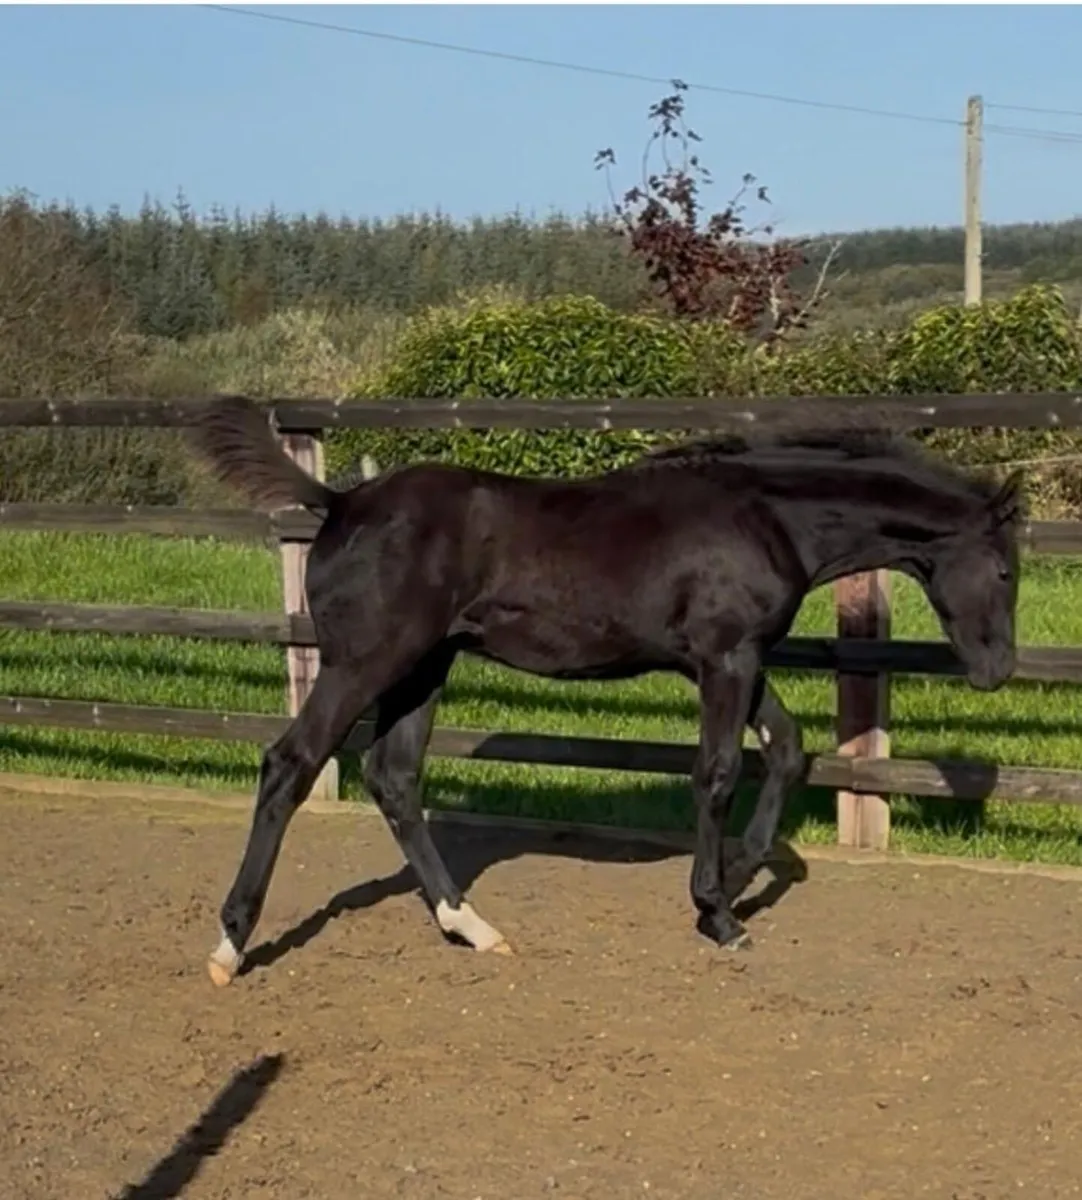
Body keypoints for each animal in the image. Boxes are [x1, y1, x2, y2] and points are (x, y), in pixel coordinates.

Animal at [187, 397, 1024, 987]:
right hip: (367, 661)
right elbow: (718, 773)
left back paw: (473, 928)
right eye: (1007, 568)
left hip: (424, 667)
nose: (999, 670)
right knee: (291, 764)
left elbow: (787, 751)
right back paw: (230, 944)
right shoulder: (726, 657)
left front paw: (734, 883)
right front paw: (718, 912)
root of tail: (339, 503)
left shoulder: (734, 658)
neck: (766, 518)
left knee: (392, 778)